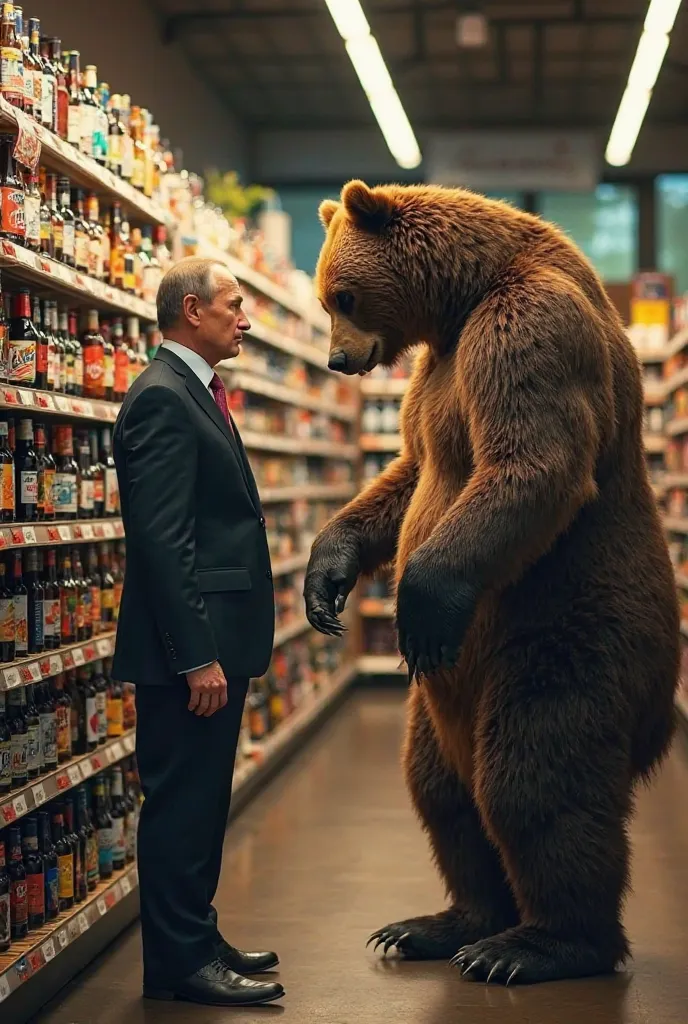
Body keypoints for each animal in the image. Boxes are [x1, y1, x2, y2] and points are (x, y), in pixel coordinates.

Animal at [303, 182, 679, 983]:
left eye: (342, 295)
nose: (337, 359)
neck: (462, 298)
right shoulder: (434, 375)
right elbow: (413, 468)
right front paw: (326, 574)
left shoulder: (527, 327)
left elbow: (527, 462)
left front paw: (418, 602)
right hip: (440, 708)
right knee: (441, 790)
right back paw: (439, 924)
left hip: (563, 633)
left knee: (536, 780)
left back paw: (538, 945)